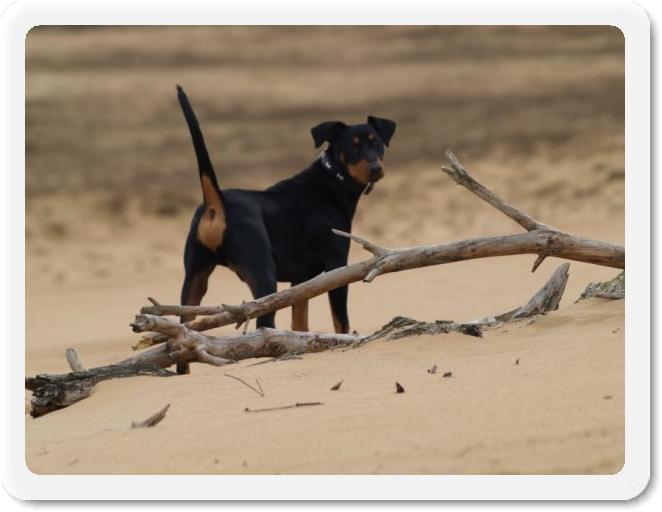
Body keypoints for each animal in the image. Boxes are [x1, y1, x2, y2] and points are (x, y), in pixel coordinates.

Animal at [174, 84, 396, 372]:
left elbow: (299, 324)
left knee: (182, 332)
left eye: (377, 143)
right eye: (352, 146)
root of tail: (216, 203)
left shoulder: (301, 281)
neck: (332, 179)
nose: (375, 168)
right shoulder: (336, 268)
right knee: (263, 326)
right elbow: (341, 322)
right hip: (263, 277)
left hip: (194, 279)